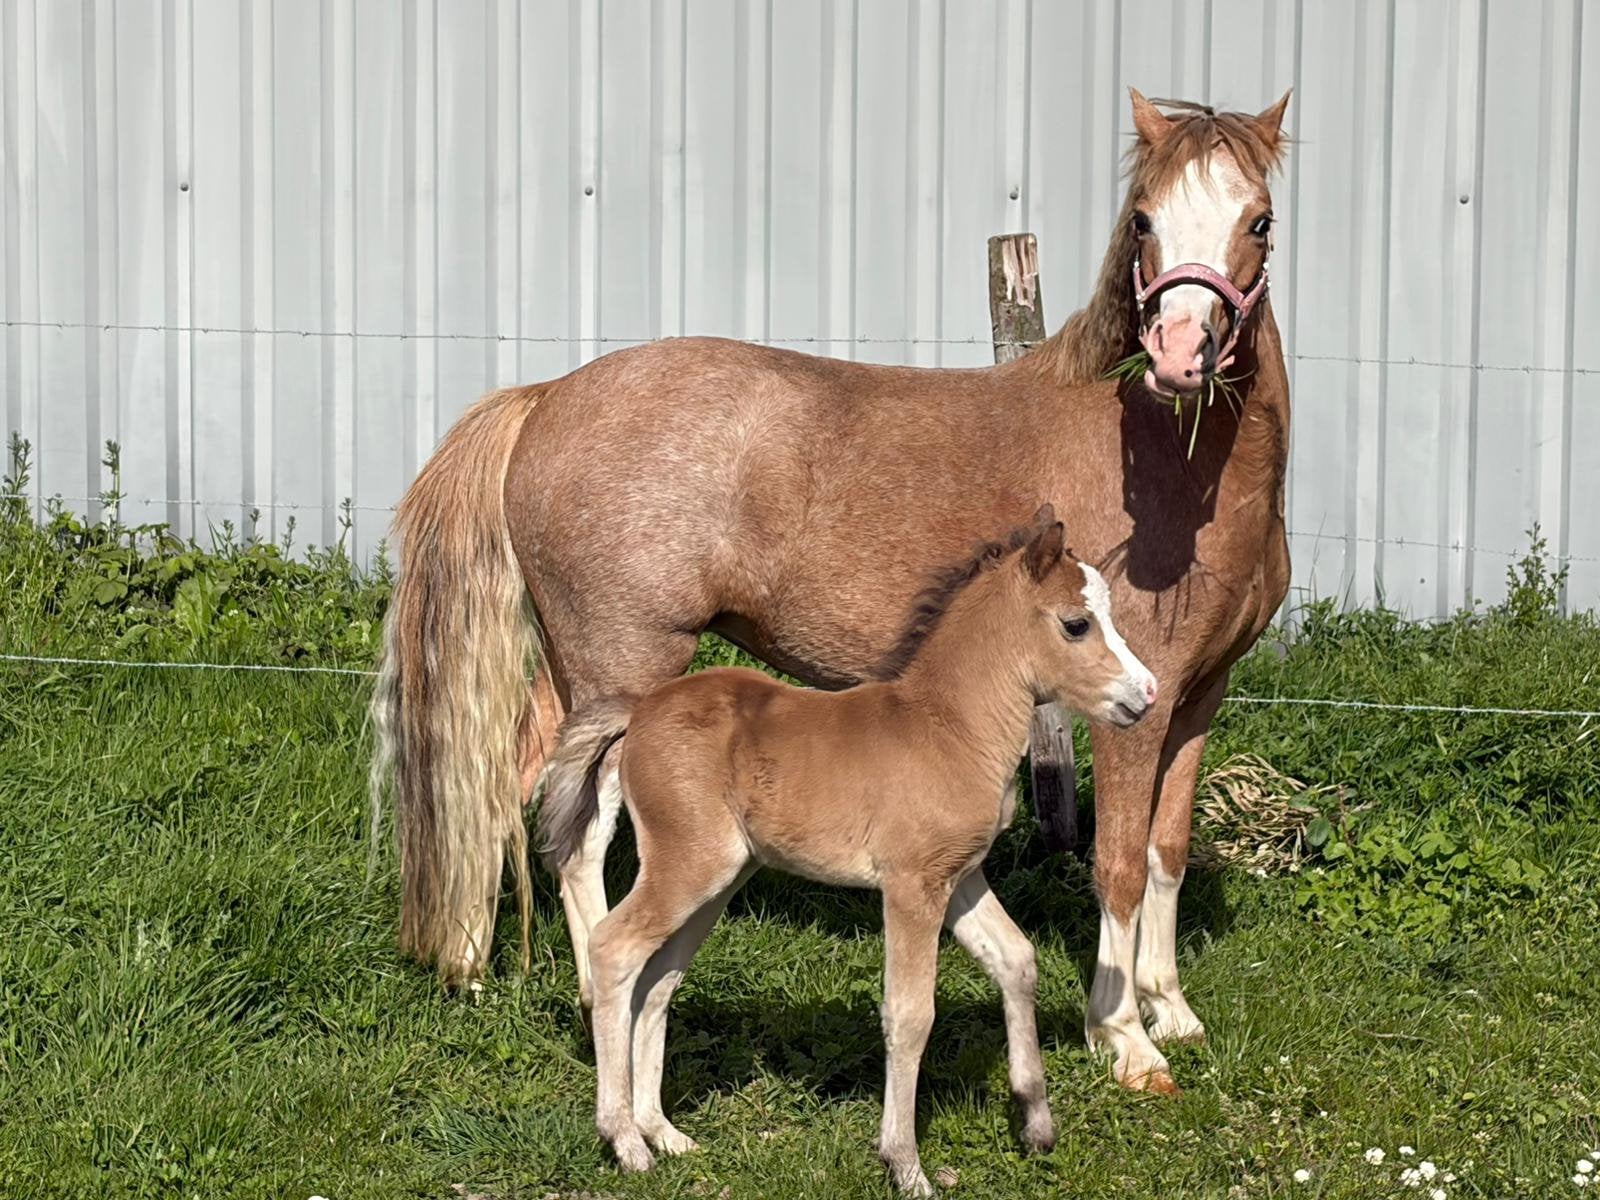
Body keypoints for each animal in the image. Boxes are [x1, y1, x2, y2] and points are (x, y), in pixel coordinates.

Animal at [370, 88, 1293, 1096]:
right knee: (580, 826)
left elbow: (1166, 851)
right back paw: (592, 998)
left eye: (1260, 221)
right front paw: (1123, 1037)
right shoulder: (1131, 710)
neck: (1171, 464)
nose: (1178, 354)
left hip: (576, 672)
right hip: (624, 668)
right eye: (1144, 219)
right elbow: (1119, 862)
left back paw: (475, 960)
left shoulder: (1194, 697)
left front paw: (1171, 1011)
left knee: (517, 782)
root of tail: (548, 396)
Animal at [537, 509, 1157, 1195]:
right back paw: (624, 1141)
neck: (950, 728)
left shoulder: (961, 877)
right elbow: (910, 1013)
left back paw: (662, 1133)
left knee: (659, 979)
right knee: (614, 949)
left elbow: (1017, 960)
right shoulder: (912, 884)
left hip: (718, 879)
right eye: (1076, 624)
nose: (1147, 694)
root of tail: (640, 710)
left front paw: (1035, 1124)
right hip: (687, 864)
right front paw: (905, 1164)